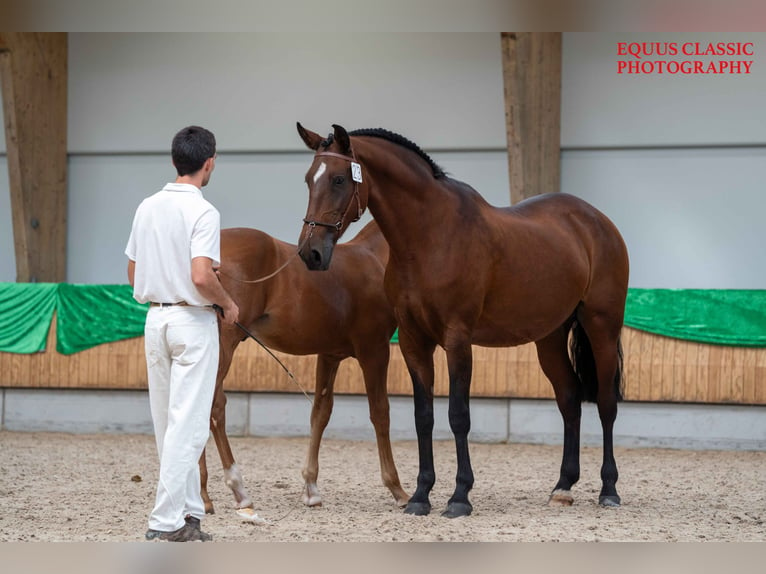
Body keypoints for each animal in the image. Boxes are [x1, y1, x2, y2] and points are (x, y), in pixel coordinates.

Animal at [201, 220, 412, 516]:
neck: (373, 259)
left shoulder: (330, 355)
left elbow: (320, 413)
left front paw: (311, 489)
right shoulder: (375, 351)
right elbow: (380, 413)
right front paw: (397, 489)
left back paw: (203, 496)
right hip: (223, 344)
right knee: (212, 405)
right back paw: (236, 489)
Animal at [296, 124, 632, 520]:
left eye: (338, 179)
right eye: (308, 180)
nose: (310, 253)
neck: (430, 236)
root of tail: (596, 220)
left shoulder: (458, 340)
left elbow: (459, 415)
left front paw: (459, 496)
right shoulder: (413, 341)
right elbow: (423, 416)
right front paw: (420, 495)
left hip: (602, 327)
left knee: (606, 403)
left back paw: (609, 489)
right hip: (549, 337)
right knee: (569, 399)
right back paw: (563, 487)